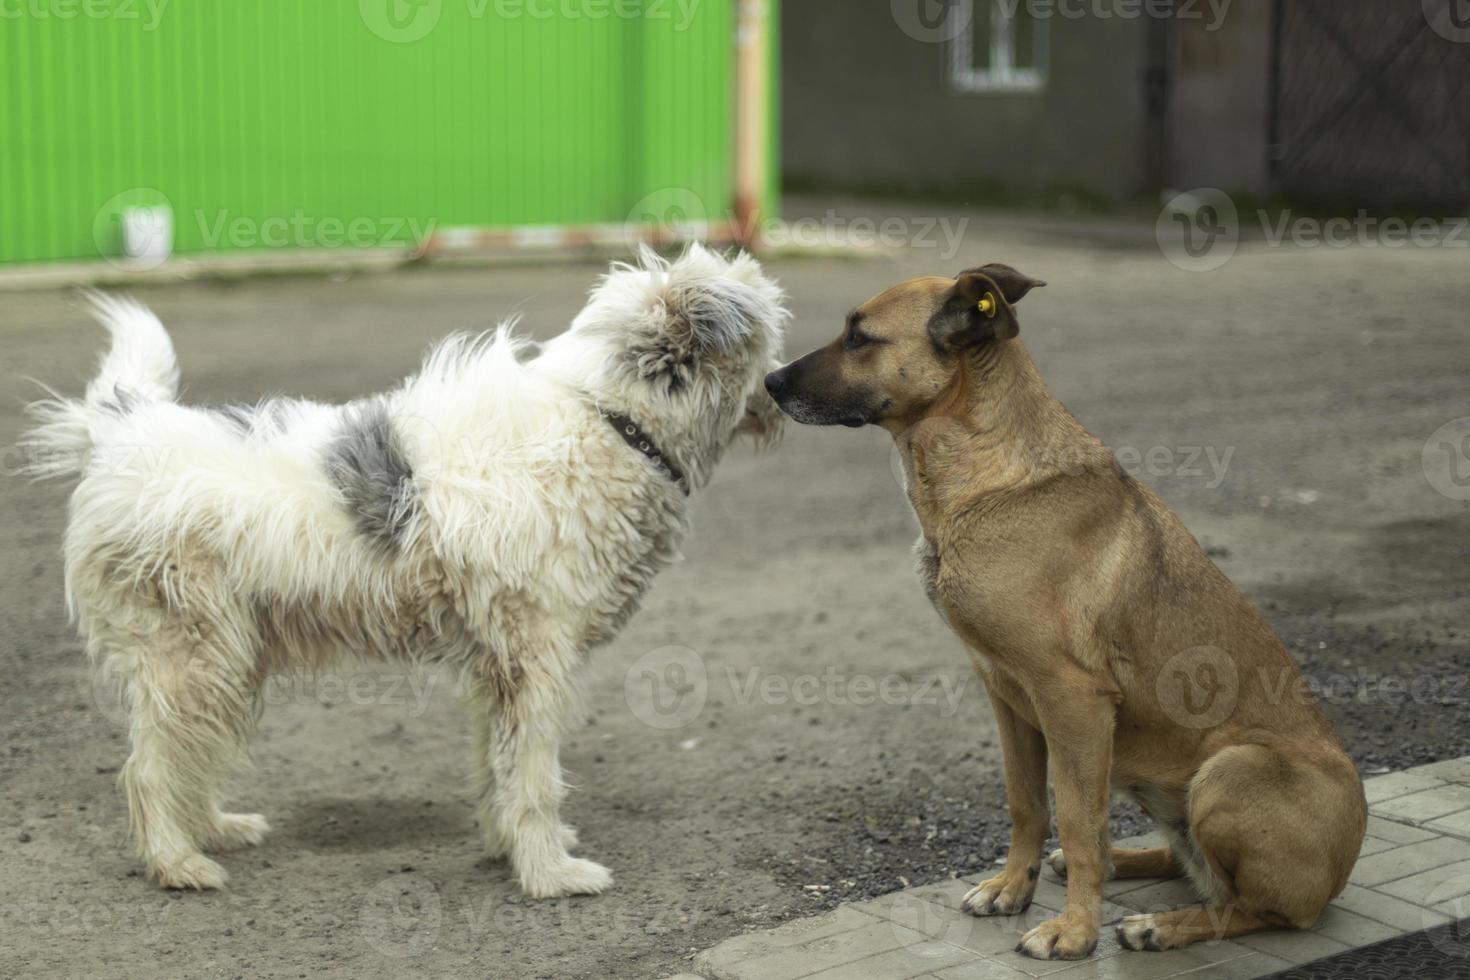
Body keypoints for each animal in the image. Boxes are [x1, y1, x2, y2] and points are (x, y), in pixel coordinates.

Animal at [20, 246, 782, 899]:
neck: (607, 422)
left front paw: (510, 849)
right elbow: (534, 776)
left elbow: (499, 767)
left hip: (225, 655)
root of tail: (120, 436)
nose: (781, 385)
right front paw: (550, 875)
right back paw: (177, 862)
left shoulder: (497, 665)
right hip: (190, 652)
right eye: (767, 342)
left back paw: (216, 829)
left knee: (191, 753)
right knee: (151, 767)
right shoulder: (537, 659)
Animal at [770, 265, 1364, 957]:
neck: (988, 470)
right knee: (1189, 865)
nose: (768, 383)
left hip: (1229, 770)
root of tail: (1339, 873)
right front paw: (1012, 888)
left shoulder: (1073, 700)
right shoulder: (1006, 695)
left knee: (1250, 907)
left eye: (859, 337)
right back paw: (1128, 866)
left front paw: (1076, 932)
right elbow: (1028, 804)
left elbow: (1080, 821)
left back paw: (1159, 925)